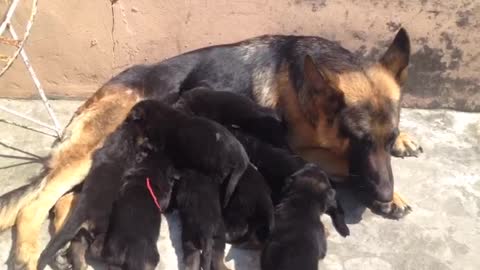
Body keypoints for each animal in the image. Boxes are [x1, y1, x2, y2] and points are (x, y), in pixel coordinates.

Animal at [0, 27, 420, 268]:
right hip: (93, 152)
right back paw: (28, 253)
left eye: (385, 137)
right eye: (360, 140)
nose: (384, 193)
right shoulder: (295, 142)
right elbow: (340, 162)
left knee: (66, 204)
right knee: (33, 205)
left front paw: (403, 144)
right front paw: (390, 194)